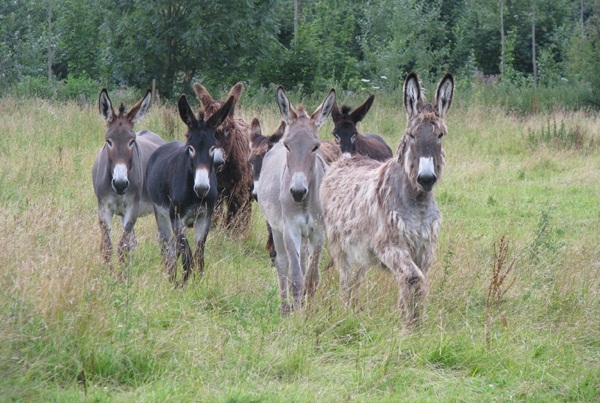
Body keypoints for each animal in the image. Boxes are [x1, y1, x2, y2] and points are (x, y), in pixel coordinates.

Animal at [92, 88, 165, 267]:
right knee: (134, 241)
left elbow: (123, 247)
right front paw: (109, 273)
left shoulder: (132, 207)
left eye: (132, 141)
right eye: (108, 141)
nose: (120, 184)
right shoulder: (104, 208)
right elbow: (107, 247)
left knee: (164, 240)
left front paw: (121, 275)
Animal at [145, 92, 234, 285]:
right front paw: (183, 283)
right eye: (190, 148)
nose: (201, 188)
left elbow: (199, 253)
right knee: (167, 245)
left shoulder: (205, 217)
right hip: (161, 214)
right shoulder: (177, 218)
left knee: (173, 247)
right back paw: (170, 276)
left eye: (212, 148)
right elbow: (186, 253)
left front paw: (198, 281)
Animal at [192, 82, 254, 238]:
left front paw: (232, 238)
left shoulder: (238, 192)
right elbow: (215, 217)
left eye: (229, 129)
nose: (216, 161)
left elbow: (234, 220)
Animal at [257, 86, 336, 314]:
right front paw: (298, 315)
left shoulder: (318, 231)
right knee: (283, 265)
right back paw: (285, 307)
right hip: (277, 229)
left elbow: (312, 277)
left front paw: (308, 312)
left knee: (302, 265)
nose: (298, 192)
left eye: (315, 147)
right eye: (288, 146)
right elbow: (296, 279)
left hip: (305, 235)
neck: (305, 202)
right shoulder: (290, 229)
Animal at [320, 72, 454, 327]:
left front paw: (414, 325)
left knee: (356, 281)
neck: (417, 204)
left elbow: (417, 283)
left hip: (360, 253)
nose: (426, 178)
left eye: (440, 135)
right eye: (411, 135)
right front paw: (408, 329)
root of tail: (346, 160)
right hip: (341, 248)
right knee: (346, 282)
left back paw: (355, 312)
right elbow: (412, 279)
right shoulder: (390, 245)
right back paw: (346, 312)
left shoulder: (424, 251)